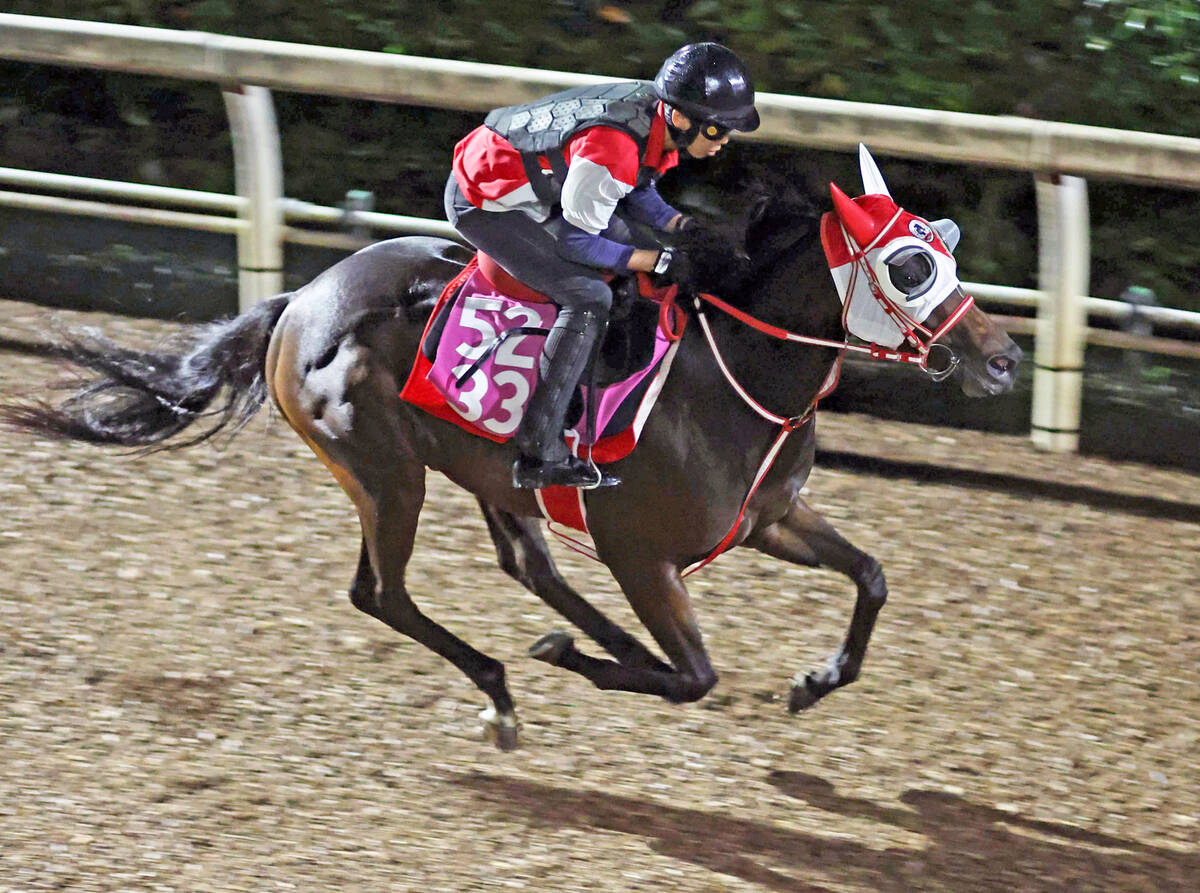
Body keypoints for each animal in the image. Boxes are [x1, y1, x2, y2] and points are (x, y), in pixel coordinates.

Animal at [0, 146, 1021, 750]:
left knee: (525, 563)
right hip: (386, 473)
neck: (736, 372)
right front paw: (574, 660)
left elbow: (872, 576)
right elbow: (693, 677)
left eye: (947, 248)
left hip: (485, 470)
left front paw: (815, 681)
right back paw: (504, 684)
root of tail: (300, 301)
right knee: (383, 593)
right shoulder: (641, 553)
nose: (1004, 357)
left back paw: (577, 648)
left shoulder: (767, 517)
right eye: (910, 266)